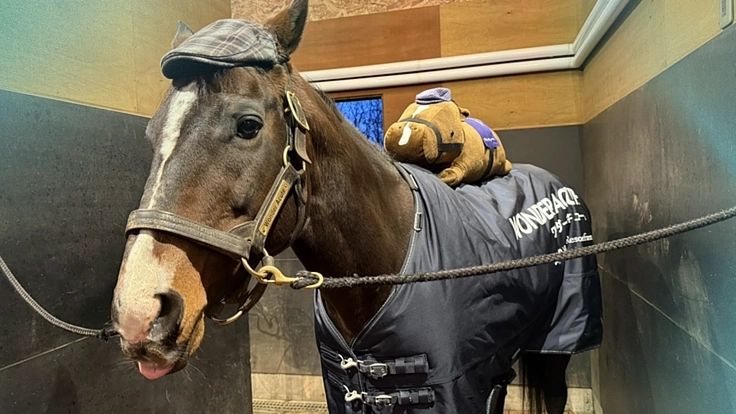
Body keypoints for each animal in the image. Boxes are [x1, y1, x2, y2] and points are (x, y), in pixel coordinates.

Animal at [110, 1, 602, 413]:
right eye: (151, 134)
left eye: (248, 125)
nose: (139, 314)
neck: (393, 261)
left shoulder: (454, 388)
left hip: (557, 344)